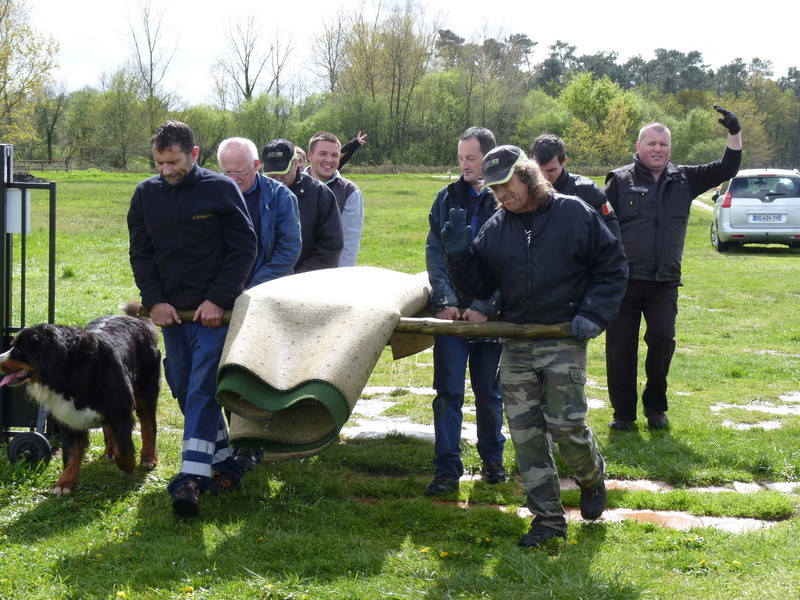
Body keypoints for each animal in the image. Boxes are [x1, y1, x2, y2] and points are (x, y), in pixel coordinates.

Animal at [0, 308, 161, 494]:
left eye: (19, 350)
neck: (72, 372)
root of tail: (135, 319)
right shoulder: (68, 416)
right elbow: (71, 454)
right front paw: (64, 483)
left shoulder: (120, 410)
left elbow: (124, 449)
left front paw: (128, 464)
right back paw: (109, 452)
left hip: (146, 392)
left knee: (149, 425)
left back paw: (148, 457)